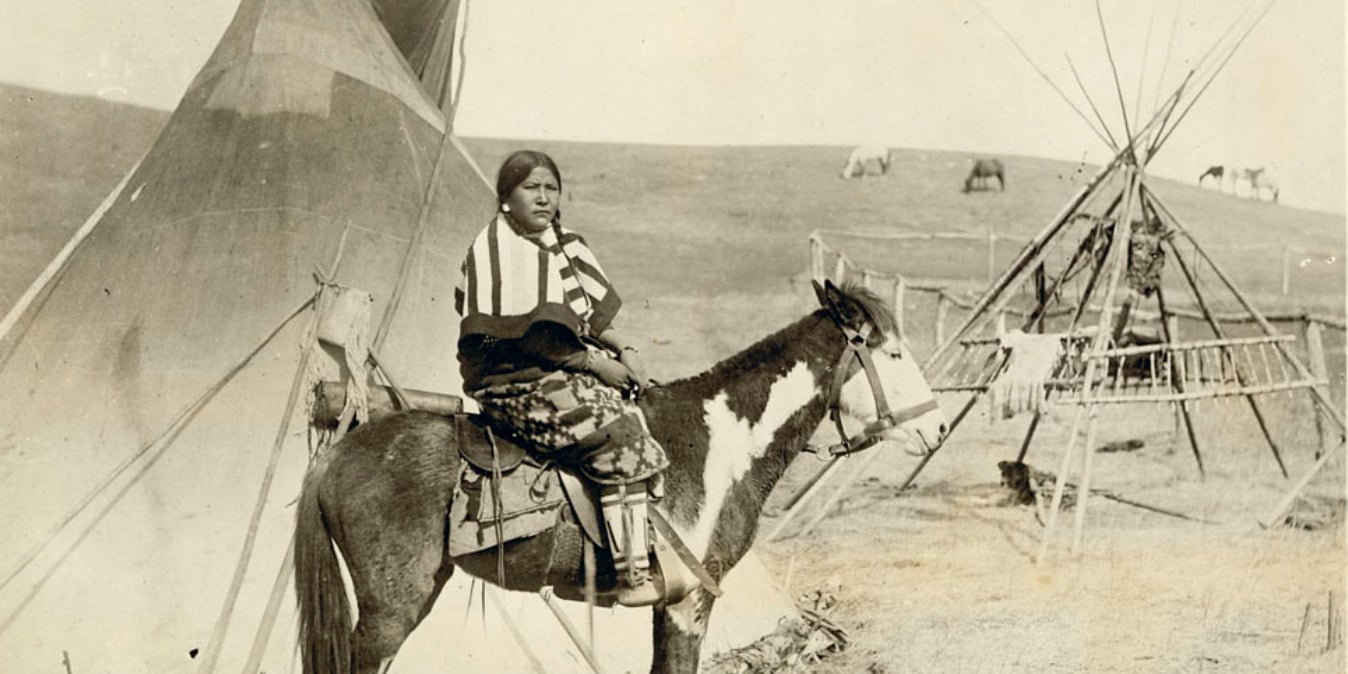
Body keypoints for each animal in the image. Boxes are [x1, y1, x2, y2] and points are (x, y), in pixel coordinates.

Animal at [295, 279, 948, 674]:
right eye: (892, 354)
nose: (938, 428)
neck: (723, 445)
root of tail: (338, 455)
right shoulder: (691, 602)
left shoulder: (673, 604)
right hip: (389, 610)